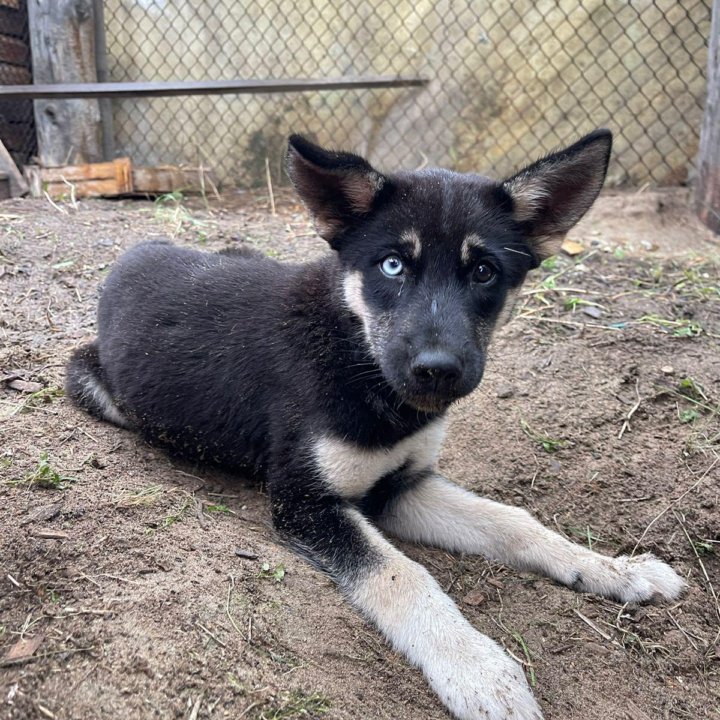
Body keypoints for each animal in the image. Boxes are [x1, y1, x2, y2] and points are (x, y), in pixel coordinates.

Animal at [64, 131, 684, 720]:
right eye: (392, 265)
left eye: (485, 272)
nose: (437, 369)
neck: (356, 351)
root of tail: (135, 252)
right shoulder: (308, 504)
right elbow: (403, 576)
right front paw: (479, 672)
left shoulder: (402, 485)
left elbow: (512, 521)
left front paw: (612, 568)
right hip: (92, 381)